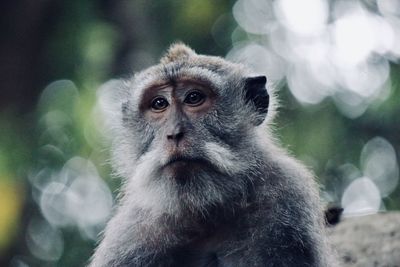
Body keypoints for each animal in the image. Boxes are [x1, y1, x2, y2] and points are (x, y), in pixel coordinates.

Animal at [89, 43, 336, 266]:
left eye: (193, 98)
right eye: (159, 103)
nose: (174, 133)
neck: (204, 212)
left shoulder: (289, 200)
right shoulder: (130, 234)